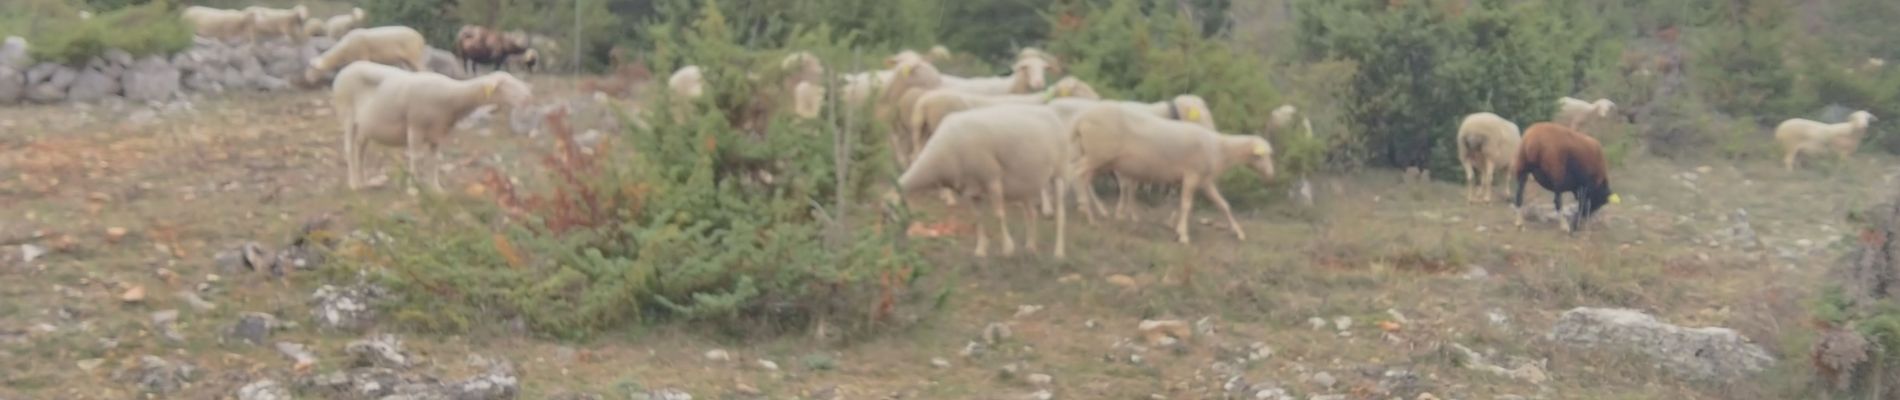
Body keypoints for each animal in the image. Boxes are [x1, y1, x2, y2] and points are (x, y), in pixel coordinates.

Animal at [338, 66, 532, 190]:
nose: (528, 97)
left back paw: (363, 182)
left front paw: (435, 188)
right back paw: (354, 184)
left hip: (364, 126)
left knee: (360, 150)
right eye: (505, 85)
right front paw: (413, 188)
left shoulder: (438, 133)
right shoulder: (415, 126)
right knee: (349, 148)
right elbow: (416, 158)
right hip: (347, 114)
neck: (452, 98)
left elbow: (434, 160)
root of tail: (345, 70)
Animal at [893, 104, 1071, 257]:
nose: (895, 242)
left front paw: (1007, 248)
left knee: (1061, 215)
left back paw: (1059, 252)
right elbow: (978, 217)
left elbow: (999, 215)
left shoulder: (992, 178)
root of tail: (1050, 112)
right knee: (1031, 214)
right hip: (1026, 183)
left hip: (1059, 172)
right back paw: (1031, 247)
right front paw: (980, 250)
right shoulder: (972, 188)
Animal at [1071, 102, 1276, 244]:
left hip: (1096, 158)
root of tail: (1080, 120)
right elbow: (1186, 205)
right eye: (1263, 155)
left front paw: (1239, 232)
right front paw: (1183, 235)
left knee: (1083, 178)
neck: (1220, 148)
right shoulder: (1192, 175)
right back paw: (1086, 212)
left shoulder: (1205, 181)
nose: (1271, 175)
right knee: (1078, 173)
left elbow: (1223, 205)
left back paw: (1089, 212)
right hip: (1098, 155)